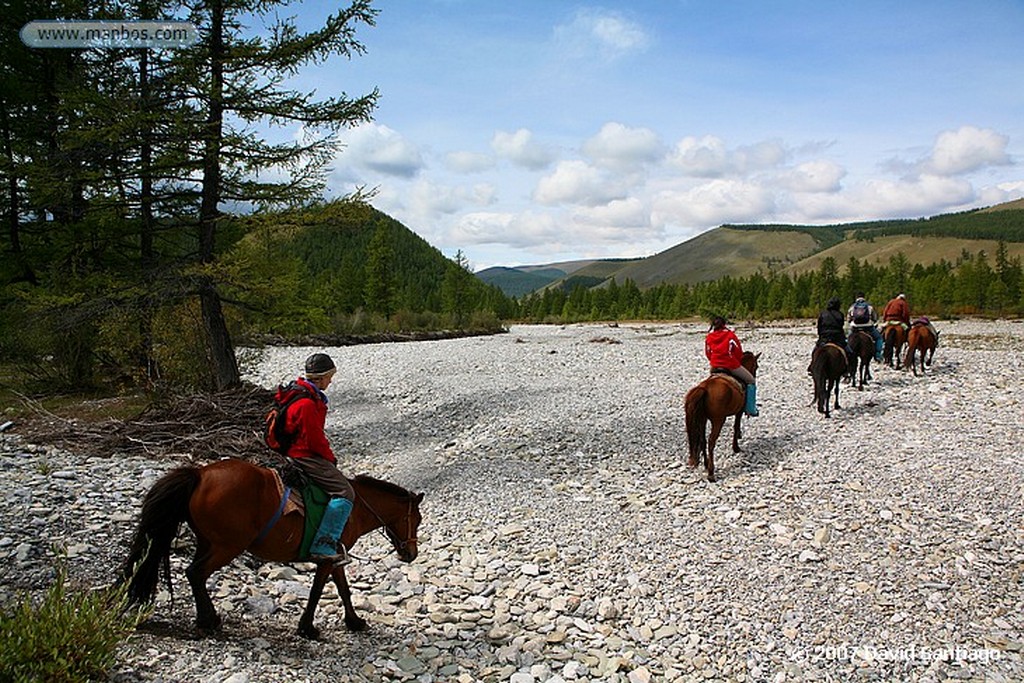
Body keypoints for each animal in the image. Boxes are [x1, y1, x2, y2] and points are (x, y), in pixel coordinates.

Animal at [119, 458, 423, 643]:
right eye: (417, 520)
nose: (411, 554)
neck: (356, 505)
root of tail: (200, 473)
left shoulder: (336, 558)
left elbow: (344, 590)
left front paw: (355, 622)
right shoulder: (327, 560)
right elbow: (317, 592)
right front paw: (307, 628)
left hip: (208, 542)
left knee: (195, 575)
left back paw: (205, 618)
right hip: (227, 546)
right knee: (196, 573)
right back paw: (210, 620)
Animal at [684, 350, 757, 483]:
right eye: (756, 366)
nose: (753, 376)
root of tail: (704, 388)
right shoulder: (738, 412)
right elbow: (736, 426)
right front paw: (736, 448)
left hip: (703, 420)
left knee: (703, 440)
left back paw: (706, 464)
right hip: (718, 421)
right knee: (711, 442)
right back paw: (711, 473)